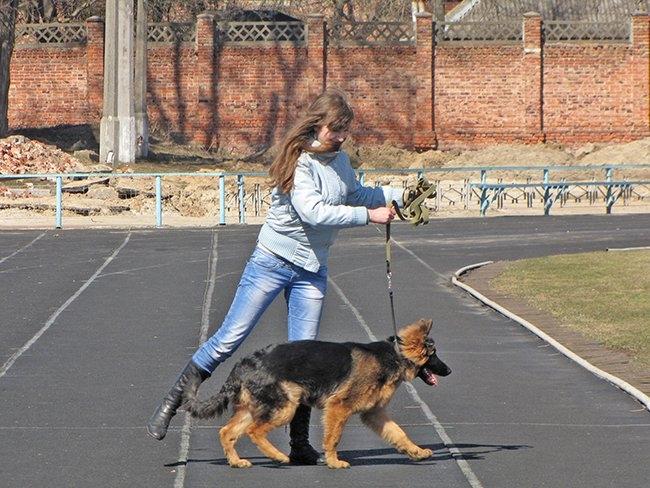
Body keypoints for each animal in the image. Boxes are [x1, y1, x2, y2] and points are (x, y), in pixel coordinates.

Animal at [183, 318, 451, 469]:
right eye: (434, 354)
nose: (449, 370)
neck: (394, 355)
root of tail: (244, 363)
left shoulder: (374, 414)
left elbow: (399, 433)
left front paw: (416, 451)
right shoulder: (338, 408)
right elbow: (333, 438)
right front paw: (333, 462)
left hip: (256, 408)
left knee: (227, 432)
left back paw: (236, 461)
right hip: (285, 407)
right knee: (254, 432)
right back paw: (279, 456)